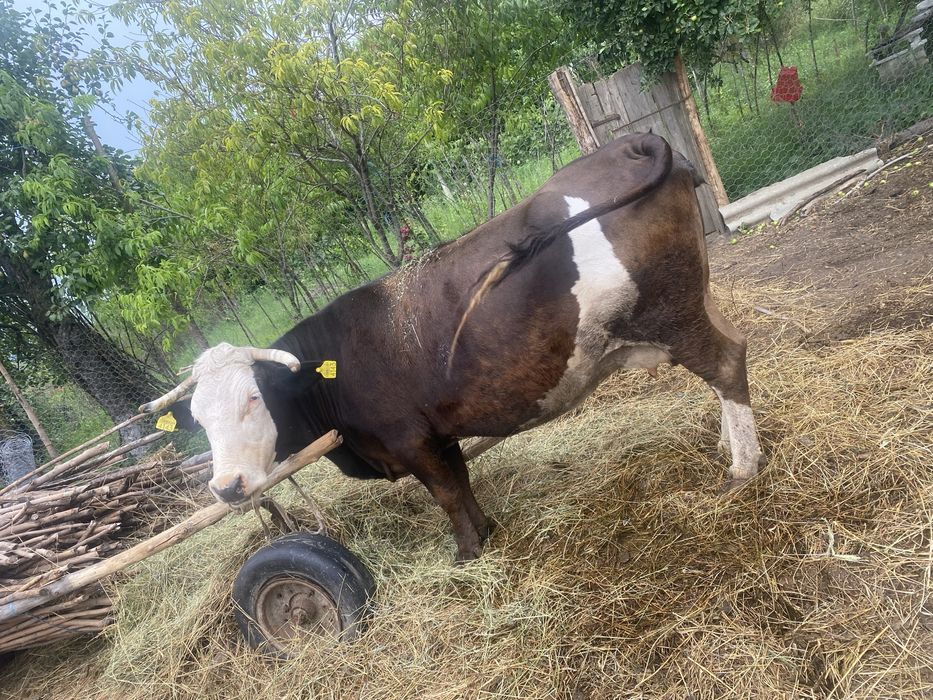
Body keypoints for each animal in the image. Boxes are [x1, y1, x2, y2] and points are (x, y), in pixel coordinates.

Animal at [141, 133, 765, 563]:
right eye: (199, 418)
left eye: (254, 399)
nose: (226, 487)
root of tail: (631, 141)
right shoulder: (437, 434)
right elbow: (461, 483)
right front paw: (484, 535)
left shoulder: (411, 439)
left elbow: (445, 495)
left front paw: (466, 553)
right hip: (692, 301)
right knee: (731, 351)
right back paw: (724, 443)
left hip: (672, 313)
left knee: (726, 364)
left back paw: (742, 468)